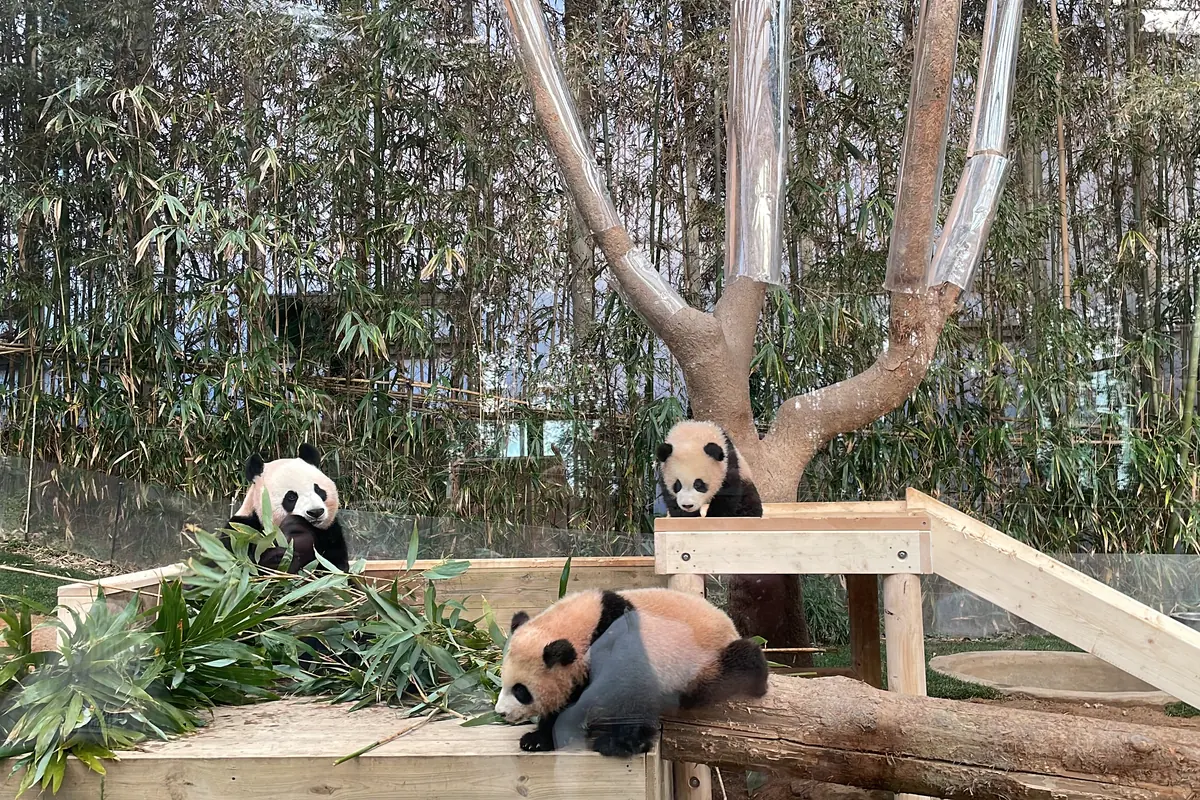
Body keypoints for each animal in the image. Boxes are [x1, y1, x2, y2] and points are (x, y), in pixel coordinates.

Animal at [224, 443, 350, 573]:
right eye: (291, 497)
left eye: (318, 490)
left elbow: (333, 567)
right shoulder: (240, 531)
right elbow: (243, 564)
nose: (315, 512)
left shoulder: (331, 532)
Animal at [494, 587, 769, 758]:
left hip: (702, 662)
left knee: (725, 674)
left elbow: (629, 691)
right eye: (503, 682)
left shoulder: (617, 643)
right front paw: (537, 739)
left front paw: (619, 744)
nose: (501, 713)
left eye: (520, 691)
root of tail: (729, 624)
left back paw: (757, 675)